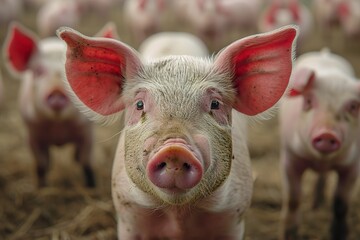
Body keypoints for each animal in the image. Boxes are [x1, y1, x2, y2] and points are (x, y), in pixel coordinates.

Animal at [57, 24, 298, 240]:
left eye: (215, 104)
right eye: (139, 105)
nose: (174, 148)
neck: (178, 214)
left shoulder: (234, 216)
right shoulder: (128, 216)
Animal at [280, 47, 360, 239]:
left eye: (353, 106)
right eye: (309, 101)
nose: (326, 133)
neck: (321, 160)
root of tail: (325, 53)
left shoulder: (353, 164)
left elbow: (341, 203)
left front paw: (339, 234)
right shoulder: (290, 156)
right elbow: (293, 198)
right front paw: (289, 234)